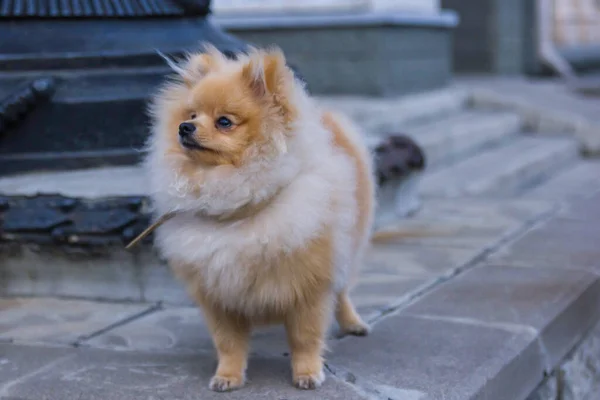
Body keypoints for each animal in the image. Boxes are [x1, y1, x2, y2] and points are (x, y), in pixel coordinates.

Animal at [144, 45, 372, 392]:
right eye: (191, 116)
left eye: (224, 121)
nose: (185, 128)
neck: (237, 204)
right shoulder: (218, 295)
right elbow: (228, 343)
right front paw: (228, 376)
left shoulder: (310, 286)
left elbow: (305, 337)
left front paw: (307, 373)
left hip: (348, 248)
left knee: (343, 291)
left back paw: (353, 323)